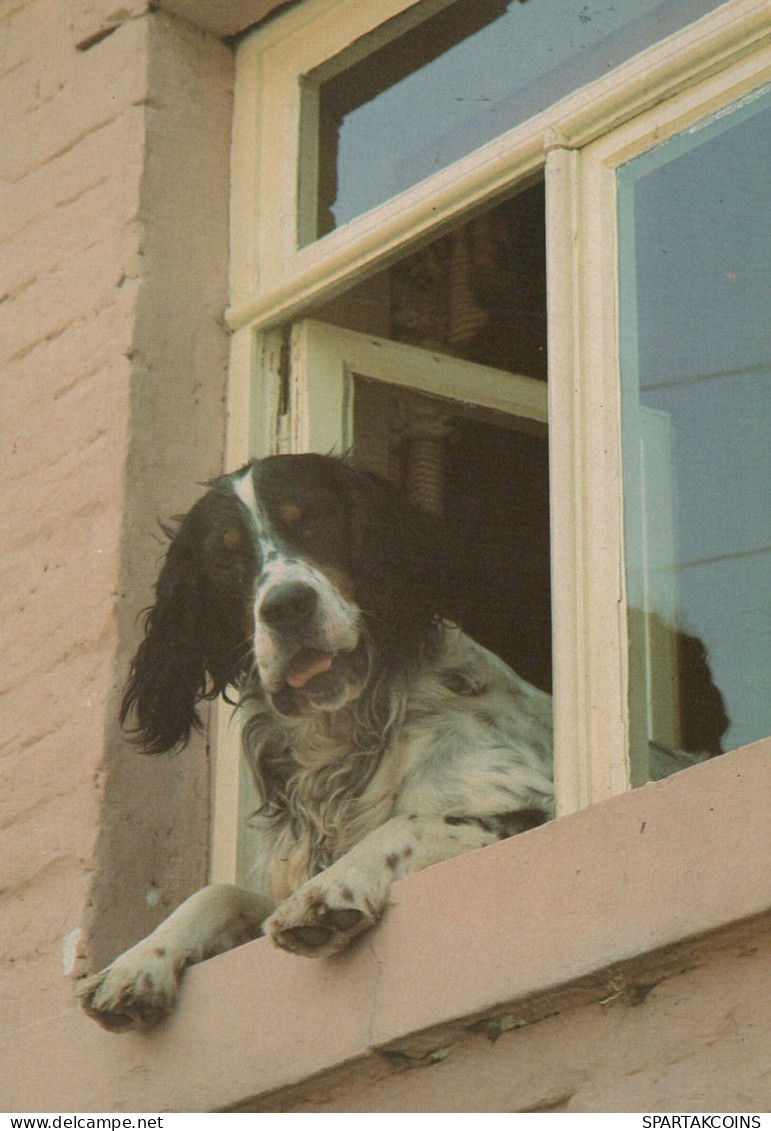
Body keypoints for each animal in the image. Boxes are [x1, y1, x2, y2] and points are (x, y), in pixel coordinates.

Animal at [79, 452, 551, 1035]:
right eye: (223, 559)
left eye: (314, 522)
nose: (286, 606)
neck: (343, 737)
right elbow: (216, 892)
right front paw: (139, 961)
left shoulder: (534, 803)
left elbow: (413, 821)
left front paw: (332, 889)